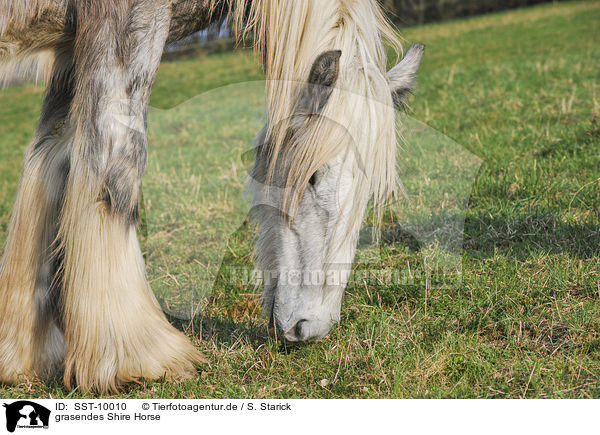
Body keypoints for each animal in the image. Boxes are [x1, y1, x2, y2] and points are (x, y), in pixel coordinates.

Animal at [0, 0, 424, 396]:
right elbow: (113, 171)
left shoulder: (71, 56)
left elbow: (49, 164)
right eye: (314, 177)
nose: (311, 328)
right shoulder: (121, 31)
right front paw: (139, 357)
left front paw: (26, 355)